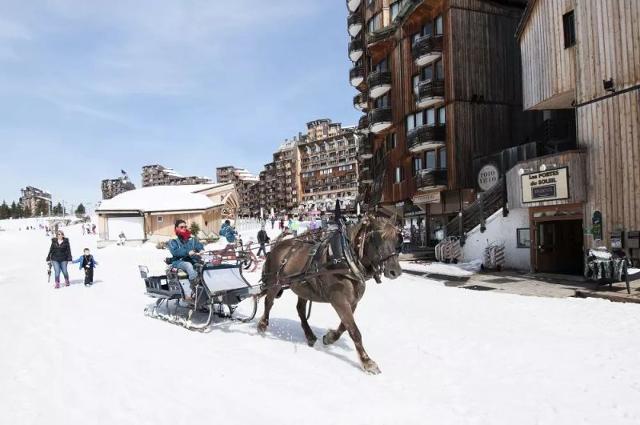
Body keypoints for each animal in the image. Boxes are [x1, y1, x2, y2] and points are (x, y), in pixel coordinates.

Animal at [255, 214, 400, 372]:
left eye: (397, 237)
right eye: (377, 238)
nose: (395, 271)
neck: (346, 259)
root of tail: (277, 246)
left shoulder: (352, 302)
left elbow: (345, 326)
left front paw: (330, 337)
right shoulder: (339, 300)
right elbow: (354, 331)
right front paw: (367, 361)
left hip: (303, 287)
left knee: (300, 309)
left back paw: (309, 335)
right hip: (275, 283)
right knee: (269, 302)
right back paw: (262, 324)